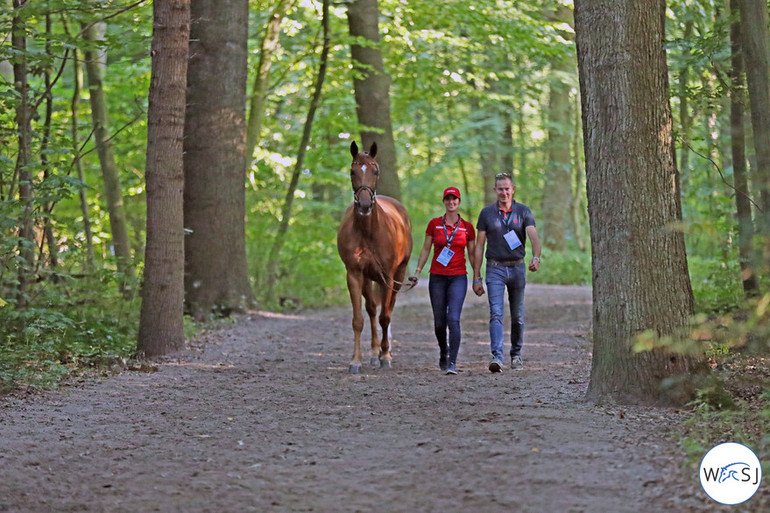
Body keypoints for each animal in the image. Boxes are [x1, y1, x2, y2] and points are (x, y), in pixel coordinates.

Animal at [332, 140, 412, 372]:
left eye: (375, 171)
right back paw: (375, 351)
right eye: (353, 171)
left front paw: (386, 356)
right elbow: (359, 320)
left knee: (388, 309)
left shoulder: (388, 276)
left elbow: (386, 317)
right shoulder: (354, 274)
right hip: (368, 278)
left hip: (399, 275)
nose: (365, 204)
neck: (368, 232)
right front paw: (356, 360)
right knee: (372, 310)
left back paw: (385, 351)